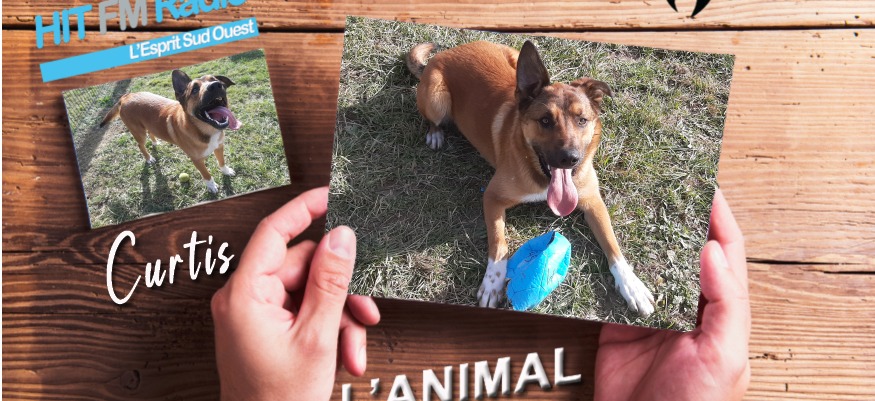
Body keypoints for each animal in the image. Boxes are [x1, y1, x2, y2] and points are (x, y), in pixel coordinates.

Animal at [100, 70, 242, 194]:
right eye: (195, 90)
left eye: (215, 80)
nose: (216, 85)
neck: (205, 129)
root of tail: (126, 96)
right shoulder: (197, 160)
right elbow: (206, 174)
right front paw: (211, 185)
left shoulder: (219, 146)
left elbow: (221, 162)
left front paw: (226, 171)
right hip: (139, 132)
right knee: (140, 145)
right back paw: (149, 158)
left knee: (151, 132)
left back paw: (155, 143)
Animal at [407, 40, 655, 316]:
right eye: (545, 120)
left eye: (582, 120)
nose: (570, 159)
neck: (542, 176)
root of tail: (446, 53)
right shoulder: (492, 198)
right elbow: (499, 243)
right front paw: (492, 281)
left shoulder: (593, 202)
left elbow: (613, 245)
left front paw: (632, 285)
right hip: (436, 98)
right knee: (434, 120)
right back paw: (435, 134)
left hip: (514, 57)